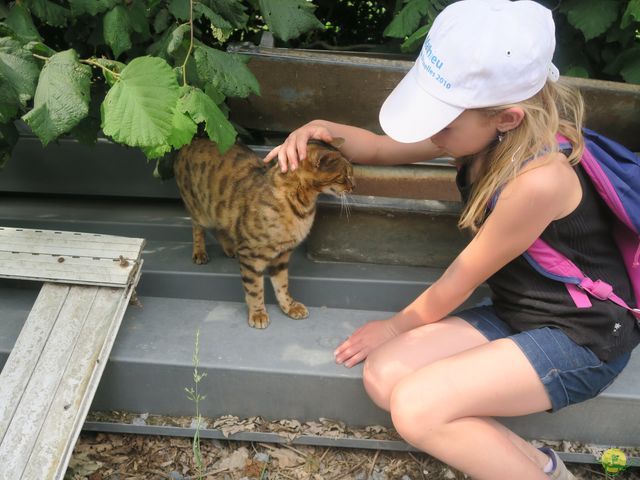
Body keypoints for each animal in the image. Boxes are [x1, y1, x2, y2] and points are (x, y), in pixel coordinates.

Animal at [175, 137, 356, 328]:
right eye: (345, 175)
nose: (354, 186)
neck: (301, 207)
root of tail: (194, 139)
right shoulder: (251, 256)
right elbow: (254, 288)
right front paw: (257, 313)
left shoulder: (282, 255)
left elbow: (282, 284)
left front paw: (289, 306)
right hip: (200, 210)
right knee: (197, 227)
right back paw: (200, 252)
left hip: (220, 210)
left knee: (221, 228)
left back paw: (230, 248)